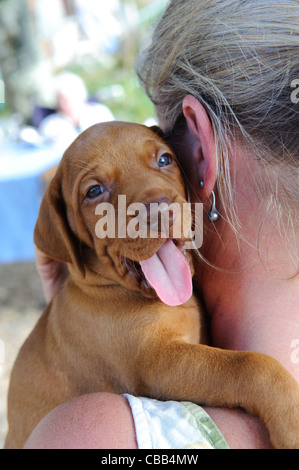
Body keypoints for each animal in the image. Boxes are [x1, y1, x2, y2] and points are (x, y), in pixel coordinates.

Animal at [4, 120, 299, 448]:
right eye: (94, 191)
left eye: (164, 159)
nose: (160, 210)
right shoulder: (156, 362)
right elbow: (248, 365)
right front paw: (291, 418)